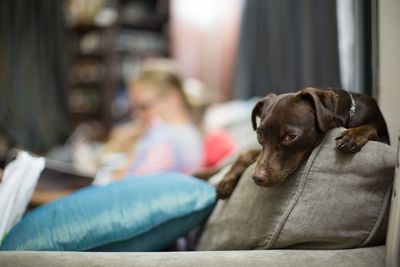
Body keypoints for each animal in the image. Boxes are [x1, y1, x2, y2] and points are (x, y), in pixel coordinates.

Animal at [217, 87, 390, 200]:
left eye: (290, 137)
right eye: (259, 134)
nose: (256, 178)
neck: (350, 111)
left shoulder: (384, 140)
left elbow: (371, 127)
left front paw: (353, 135)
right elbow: (245, 153)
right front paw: (226, 180)